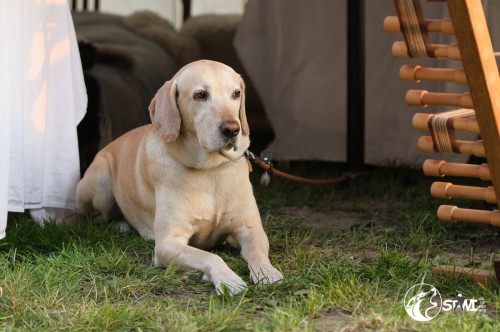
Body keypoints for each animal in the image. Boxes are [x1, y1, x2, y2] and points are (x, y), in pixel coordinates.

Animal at [76, 59, 284, 294]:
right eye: (200, 95)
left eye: (236, 93)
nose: (232, 129)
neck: (211, 169)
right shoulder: (167, 243)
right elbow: (210, 257)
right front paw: (227, 279)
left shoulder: (251, 229)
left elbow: (257, 252)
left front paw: (267, 272)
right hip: (100, 184)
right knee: (95, 218)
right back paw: (120, 225)